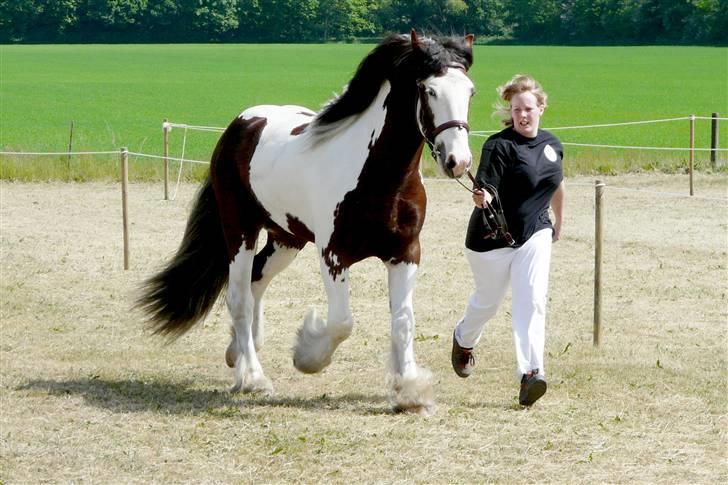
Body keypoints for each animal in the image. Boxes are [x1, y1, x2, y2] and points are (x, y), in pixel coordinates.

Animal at [139, 30, 474, 412]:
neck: (379, 178)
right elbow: (342, 322)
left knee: (256, 280)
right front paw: (306, 356)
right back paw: (252, 378)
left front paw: (410, 392)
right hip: (240, 229)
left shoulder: (405, 253)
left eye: (470, 91)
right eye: (429, 90)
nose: (458, 161)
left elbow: (403, 321)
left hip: (286, 238)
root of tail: (241, 125)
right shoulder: (333, 255)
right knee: (239, 297)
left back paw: (236, 352)